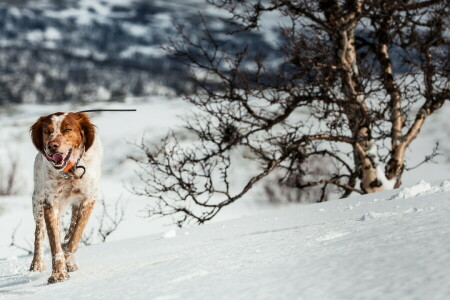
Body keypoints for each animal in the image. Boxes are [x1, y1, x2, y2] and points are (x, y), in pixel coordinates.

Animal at [29, 112, 103, 284]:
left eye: (67, 129)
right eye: (47, 131)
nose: (52, 146)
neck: (71, 171)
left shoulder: (88, 198)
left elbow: (74, 238)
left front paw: (67, 259)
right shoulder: (50, 202)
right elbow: (54, 243)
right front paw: (58, 273)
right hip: (37, 203)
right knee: (39, 233)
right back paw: (37, 264)